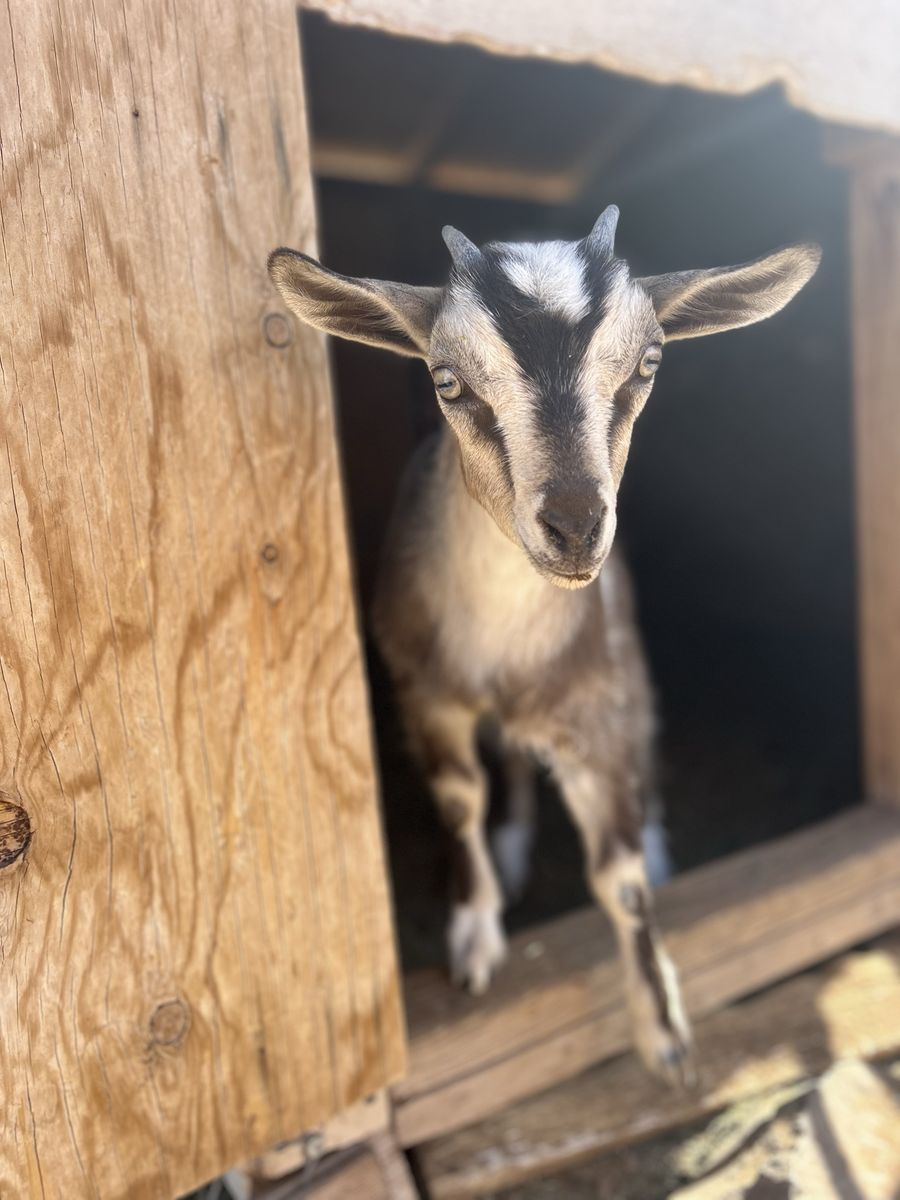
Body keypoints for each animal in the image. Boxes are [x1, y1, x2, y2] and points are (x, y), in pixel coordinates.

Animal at [269, 209, 820, 1083]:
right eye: (447, 380)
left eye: (649, 363)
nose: (574, 526)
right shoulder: (426, 693)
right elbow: (461, 800)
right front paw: (474, 936)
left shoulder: (593, 702)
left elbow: (619, 879)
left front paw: (664, 1034)